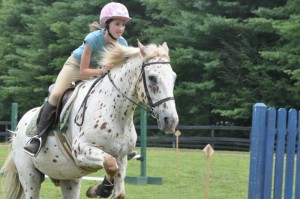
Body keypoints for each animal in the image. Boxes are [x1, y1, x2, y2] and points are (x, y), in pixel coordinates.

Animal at [1, 40, 178, 199]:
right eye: (152, 77)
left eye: (174, 77)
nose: (170, 121)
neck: (114, 112)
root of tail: (17, 130)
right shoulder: (81, 150)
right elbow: (109, 163)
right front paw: (100, 190)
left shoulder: (122, 157)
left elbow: (117, 182)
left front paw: (99, 189)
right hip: (30, 176)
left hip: (69, 179)